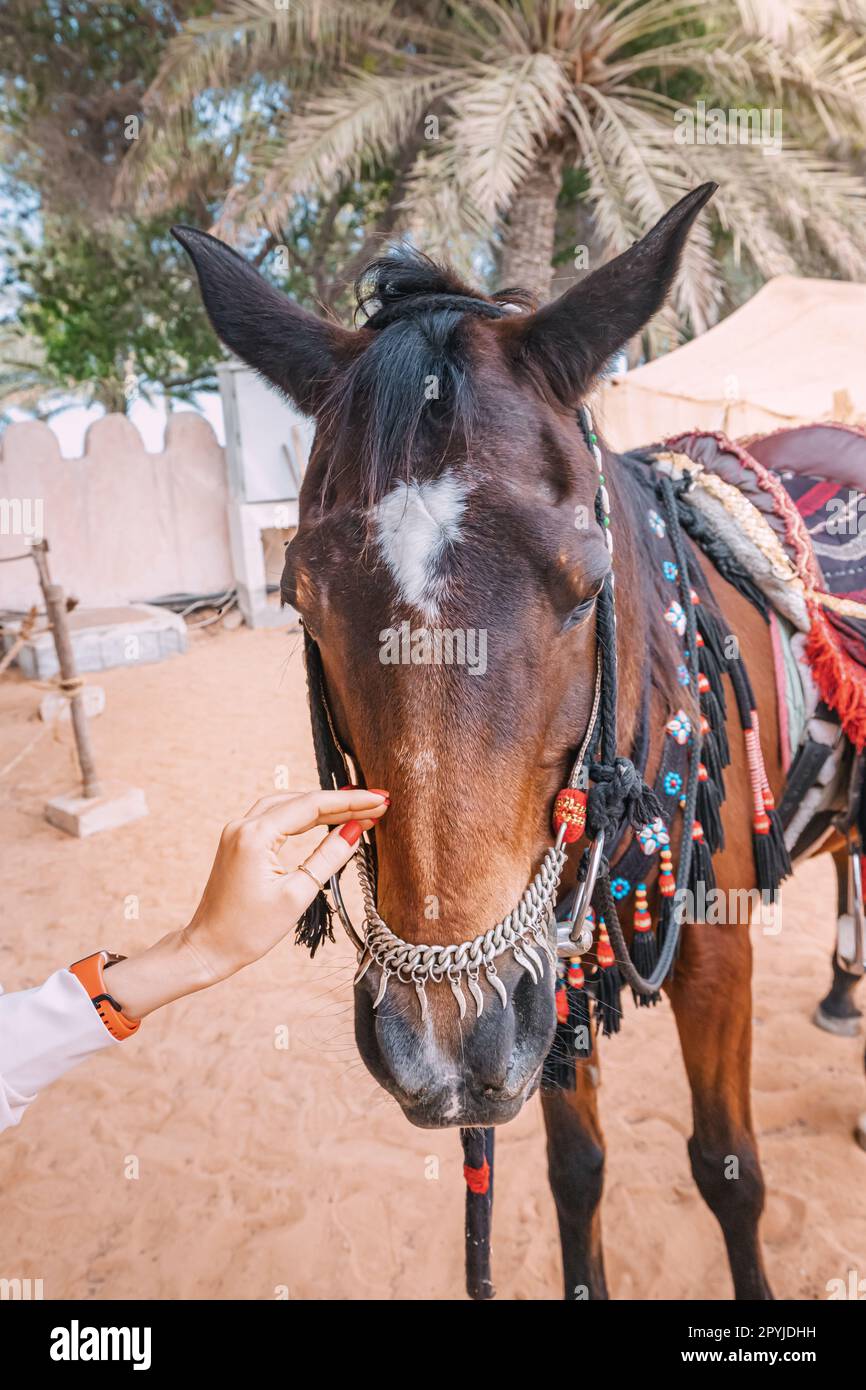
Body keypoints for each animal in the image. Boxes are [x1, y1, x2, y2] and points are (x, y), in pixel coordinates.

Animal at [173, 187, 861, 1301]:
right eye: (302, 600)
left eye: (584, 588)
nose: (441, 1041)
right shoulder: (545, 985)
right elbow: (575, 1170)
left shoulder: (713, 953)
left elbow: (727, 1169)